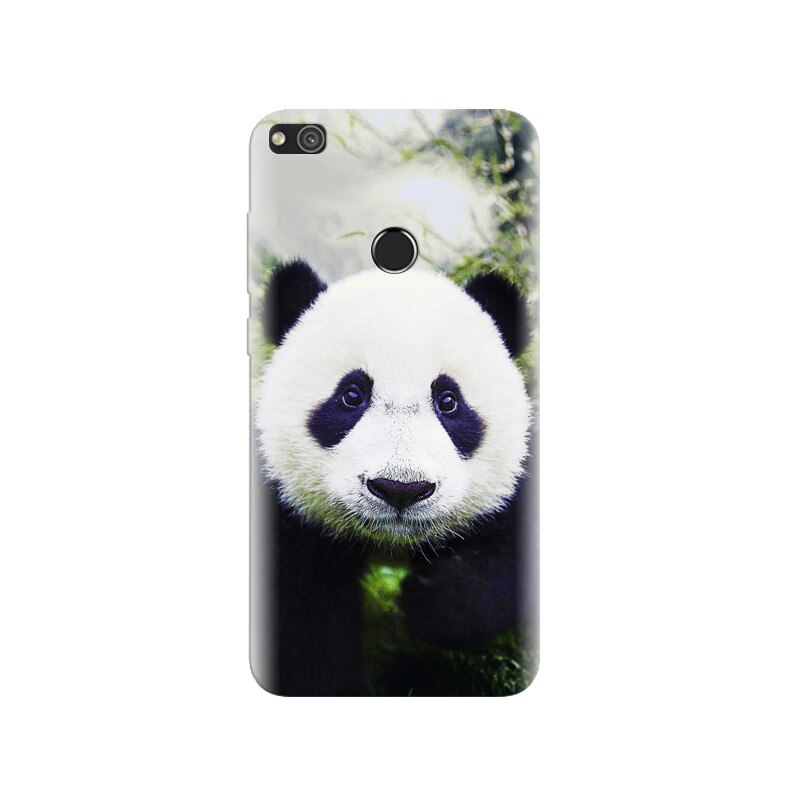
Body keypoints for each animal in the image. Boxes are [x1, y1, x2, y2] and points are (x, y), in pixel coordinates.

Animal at [252, 260, 536, 696]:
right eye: (351, 395)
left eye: (448, 401)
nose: (400, 489)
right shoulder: (288, 518)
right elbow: (304, 624)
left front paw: (433, 600)